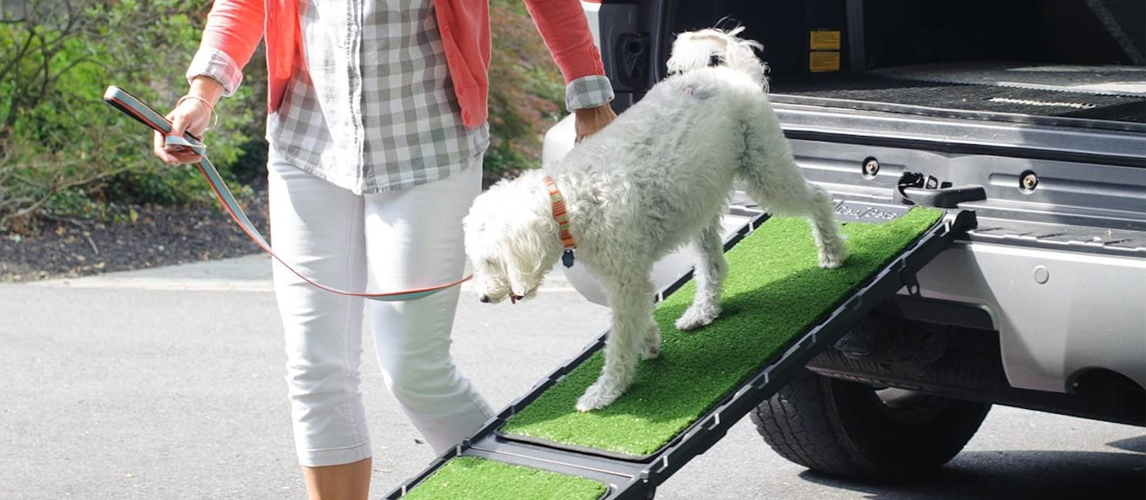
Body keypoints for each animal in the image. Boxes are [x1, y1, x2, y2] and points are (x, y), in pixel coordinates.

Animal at [460, 26, 848, 410]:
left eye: (492, 261)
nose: (482, 299)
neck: (569, 200)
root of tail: (733, 72)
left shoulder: (626, 280)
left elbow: (618, 342)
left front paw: (606, 391)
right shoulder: (624, 280)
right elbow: (633, 321)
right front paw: (648, 343)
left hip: (767, 172)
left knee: (818, 197)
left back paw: (832, 252)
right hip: (701, 203)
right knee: (714, 266)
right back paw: (702, 311)